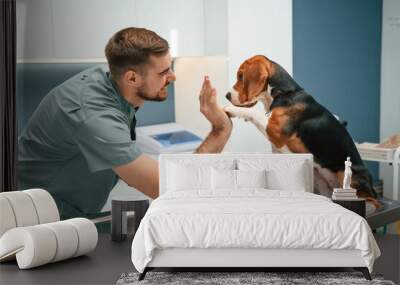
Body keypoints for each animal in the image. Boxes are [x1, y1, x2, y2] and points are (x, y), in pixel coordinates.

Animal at [227, 54, 380, 209]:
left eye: (240, 76)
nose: (227, 95)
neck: (284, 93)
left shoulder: (276, 132)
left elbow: (253, 112)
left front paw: (230, 109)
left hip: (349, 175)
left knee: (373, 202)